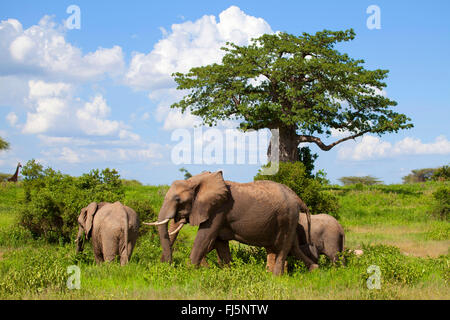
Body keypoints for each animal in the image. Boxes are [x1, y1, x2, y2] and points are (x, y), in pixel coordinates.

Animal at [146, 171, 318, 274]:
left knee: (283, 247)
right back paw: (312, 270)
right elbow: (219, 243)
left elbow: (204, 238)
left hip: (288, 218)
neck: (196, 180)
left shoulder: (218, 210)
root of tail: (297, 198)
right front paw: (228, 272)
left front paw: (190, 272)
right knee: (287, 247)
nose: (166, 265)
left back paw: (276, 277)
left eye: (178, 200)